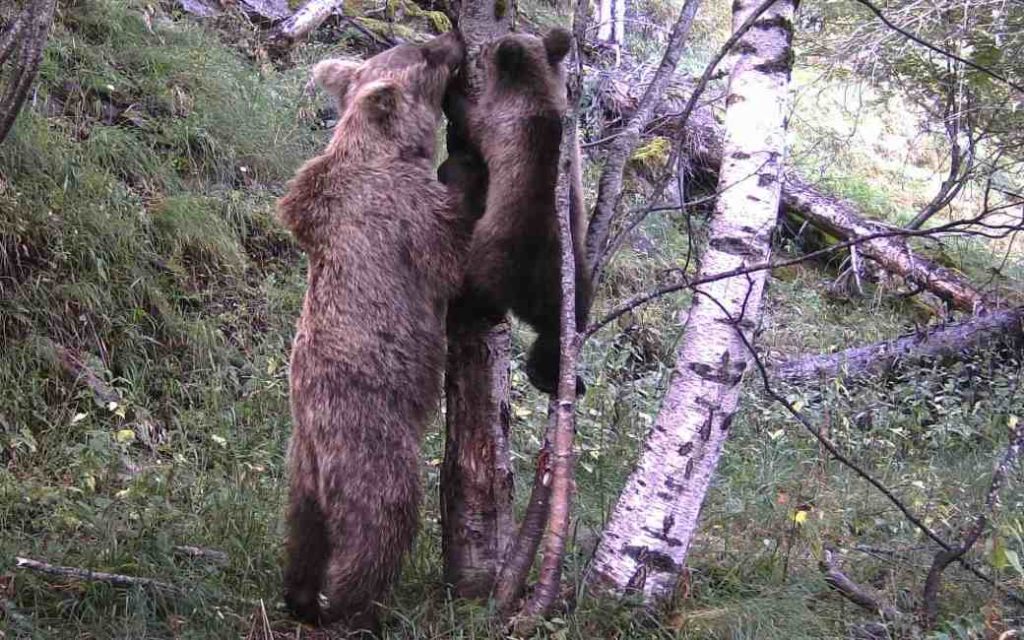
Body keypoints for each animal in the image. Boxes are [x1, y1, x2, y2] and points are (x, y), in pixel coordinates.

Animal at [272, 32, 464, 630]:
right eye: (426, 54)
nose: (454, 39)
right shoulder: (405, 210)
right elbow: (453, 256)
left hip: (300, 472)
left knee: (303, 534)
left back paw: (301, 597)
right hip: (371, 439)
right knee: (381, 521)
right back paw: (358, 607)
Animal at [440, 28, 593, 395]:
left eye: (489, 48)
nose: (481, 48)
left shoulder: (497, 123)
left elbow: (470, 118)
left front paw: (450, 89)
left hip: (490, 255)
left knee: (475, 295)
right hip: (574, 281)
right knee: (563, 329)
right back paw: (556, 377)